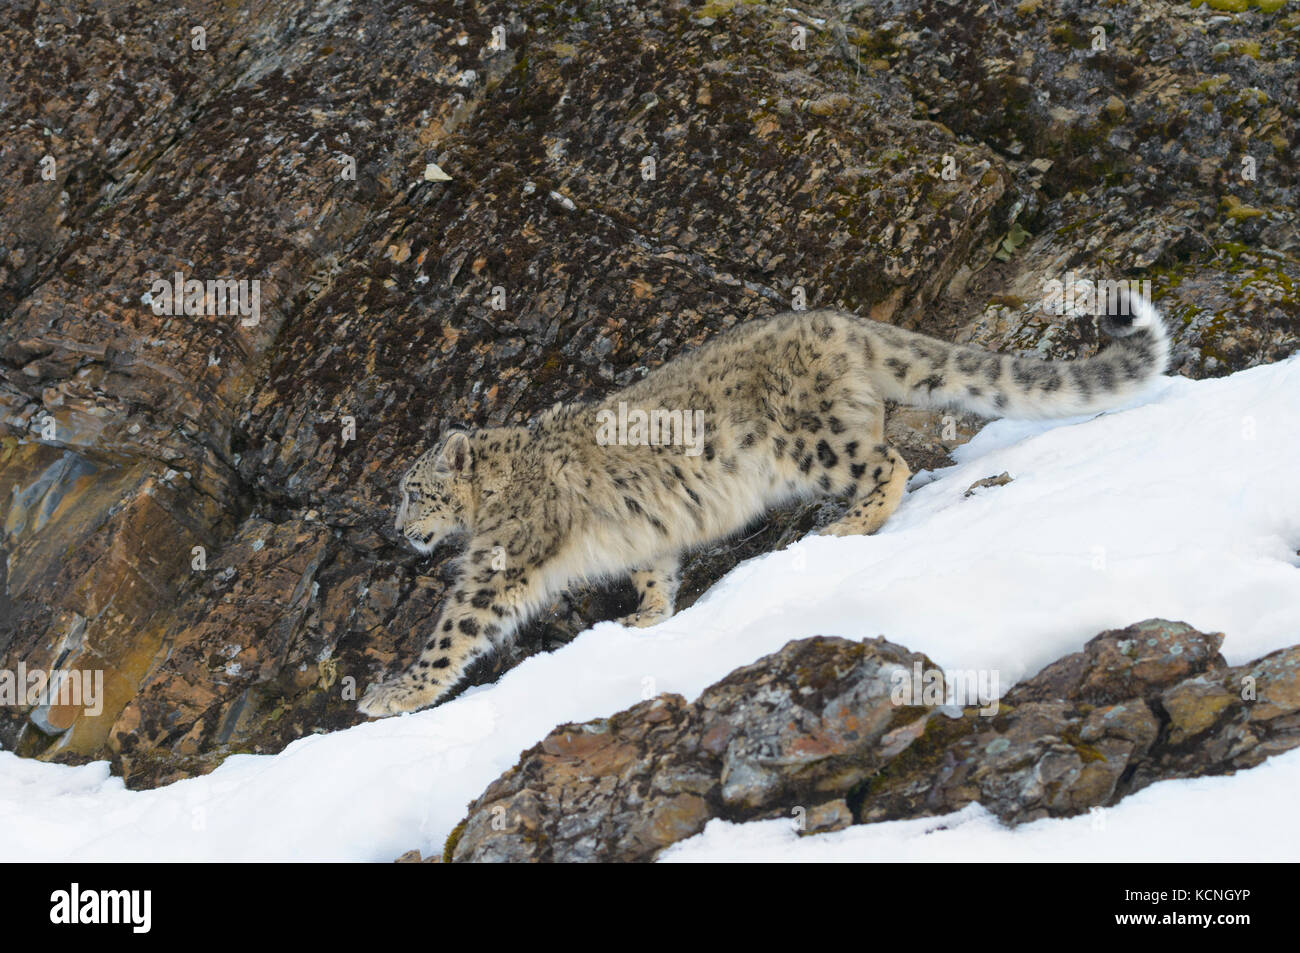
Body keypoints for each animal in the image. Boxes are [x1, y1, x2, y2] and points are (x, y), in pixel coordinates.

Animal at [356, 289, 1170, 712]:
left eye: (413, 491)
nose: (397, 530)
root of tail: (833, 319)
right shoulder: (647, 537)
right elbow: (655, 568)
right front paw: (647, 617)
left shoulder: (499, 560)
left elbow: (456, 627)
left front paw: (394, 694)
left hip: (811, 440)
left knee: (890, 461)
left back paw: (844, 527)